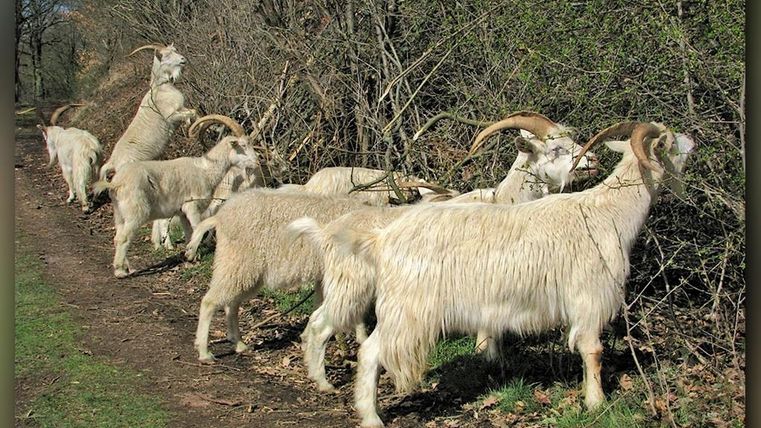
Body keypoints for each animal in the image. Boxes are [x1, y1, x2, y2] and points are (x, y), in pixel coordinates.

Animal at [330, 122, 694, 426]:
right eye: (670, 141)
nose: (693, 142)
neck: (609, 213)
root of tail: (382, 239)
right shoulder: (589, 297)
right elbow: (593, 351)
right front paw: (596, 403)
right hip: (407, 310)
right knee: (371, 351)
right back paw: (371, 418)